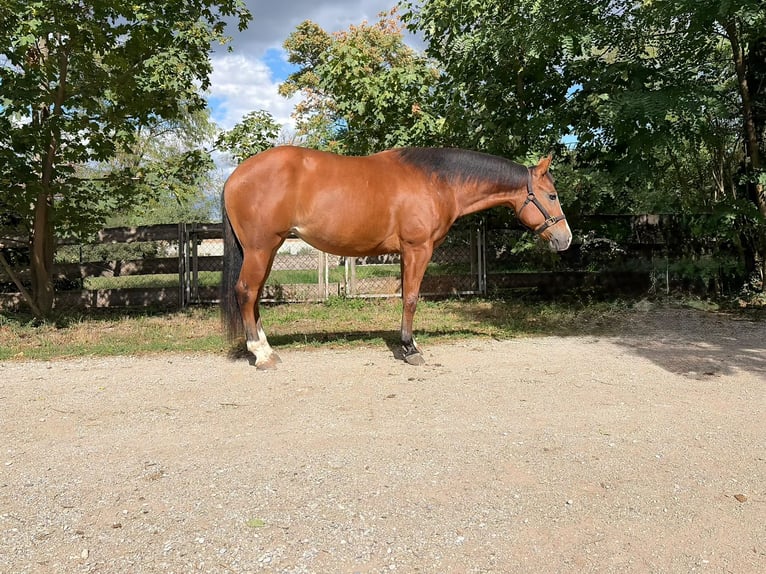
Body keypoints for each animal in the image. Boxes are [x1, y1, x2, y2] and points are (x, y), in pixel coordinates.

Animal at [221, 145, 572, 369]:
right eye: (552, 195)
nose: (565, 239)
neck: (438, 181)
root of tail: (236, 175)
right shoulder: (418, 248)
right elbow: (412, 298)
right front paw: (410, 348)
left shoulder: (406, 252)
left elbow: (405, 296)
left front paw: (405, 345)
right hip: (261, 248)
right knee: (246, 292)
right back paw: (261, 355)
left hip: (268, 250)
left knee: (254, 296)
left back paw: (267, 348)